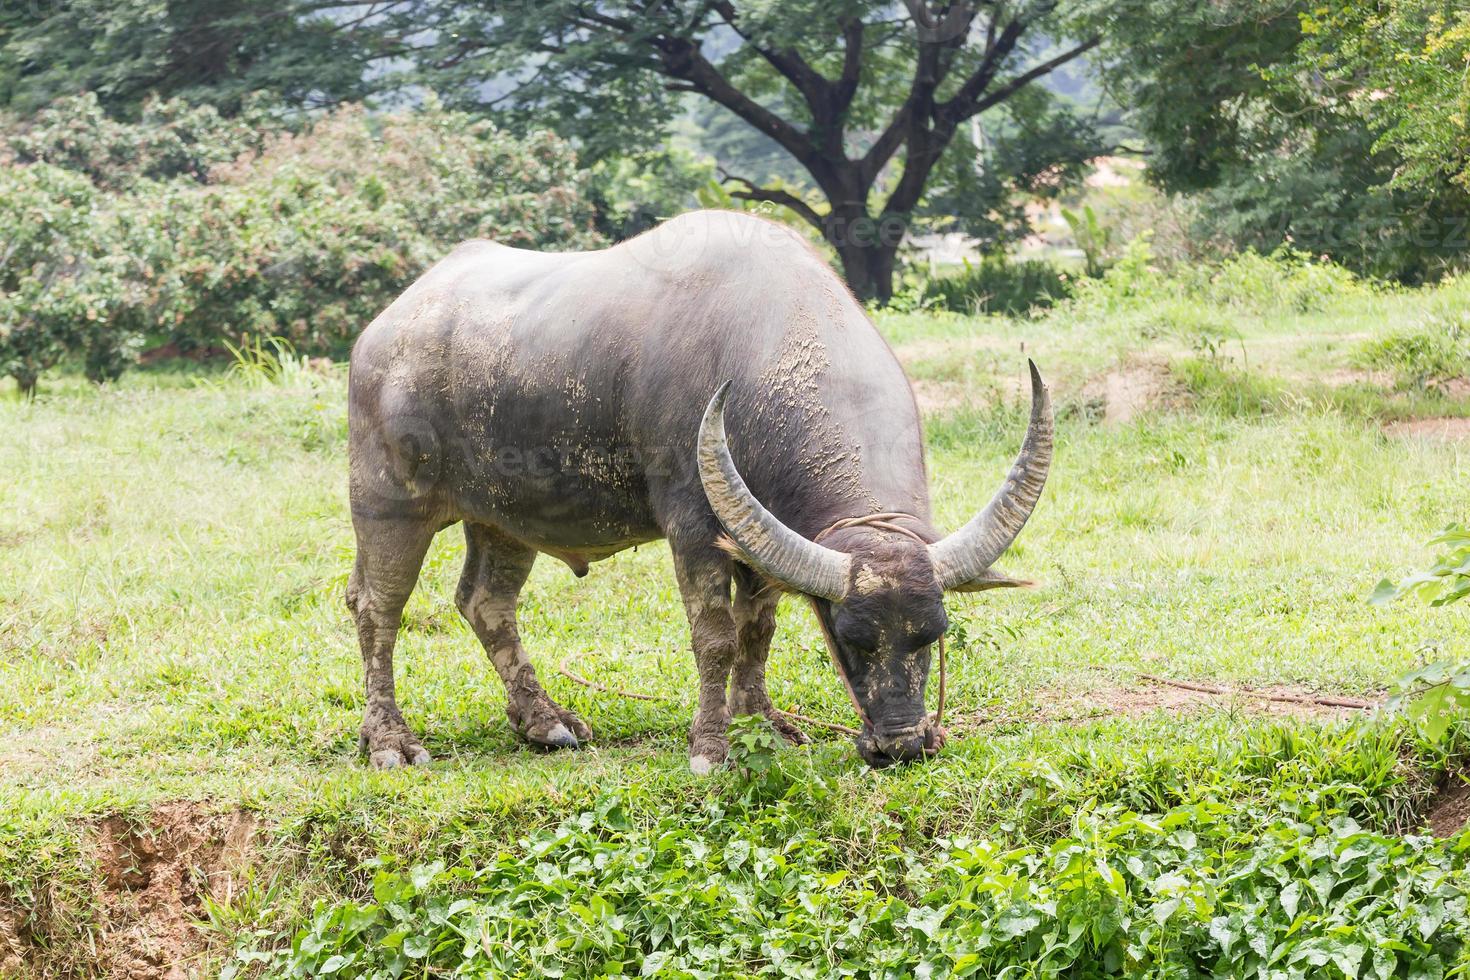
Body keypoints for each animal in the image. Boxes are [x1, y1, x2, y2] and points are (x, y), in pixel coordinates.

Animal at [348, 211, 1052, 769]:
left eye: (932, 634)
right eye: (850, 636)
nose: (904, 744)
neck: (764, 340)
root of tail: (383, 329)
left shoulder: (759, 538)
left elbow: (756, 630)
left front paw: (762, 723)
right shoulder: (692, 528)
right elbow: (714, 635)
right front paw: (711, 746)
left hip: (502, 518)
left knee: (485, 602)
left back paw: (546, 722)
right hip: (385, 503)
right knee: (376, 608)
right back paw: (391, 742)